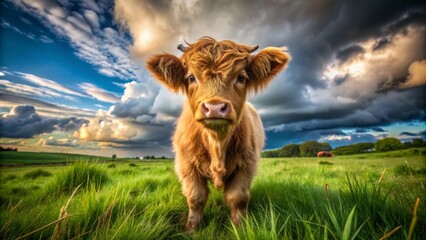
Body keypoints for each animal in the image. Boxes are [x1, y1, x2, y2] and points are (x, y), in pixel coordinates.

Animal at [146, 37, 290, 231]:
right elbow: (196, 198)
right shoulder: (186, 165)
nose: (214, 107)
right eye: (191, 77)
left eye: (241, 77)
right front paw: (191, 229)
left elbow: (237, 198)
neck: (217, 144)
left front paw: (239, 228)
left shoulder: (247, 164)